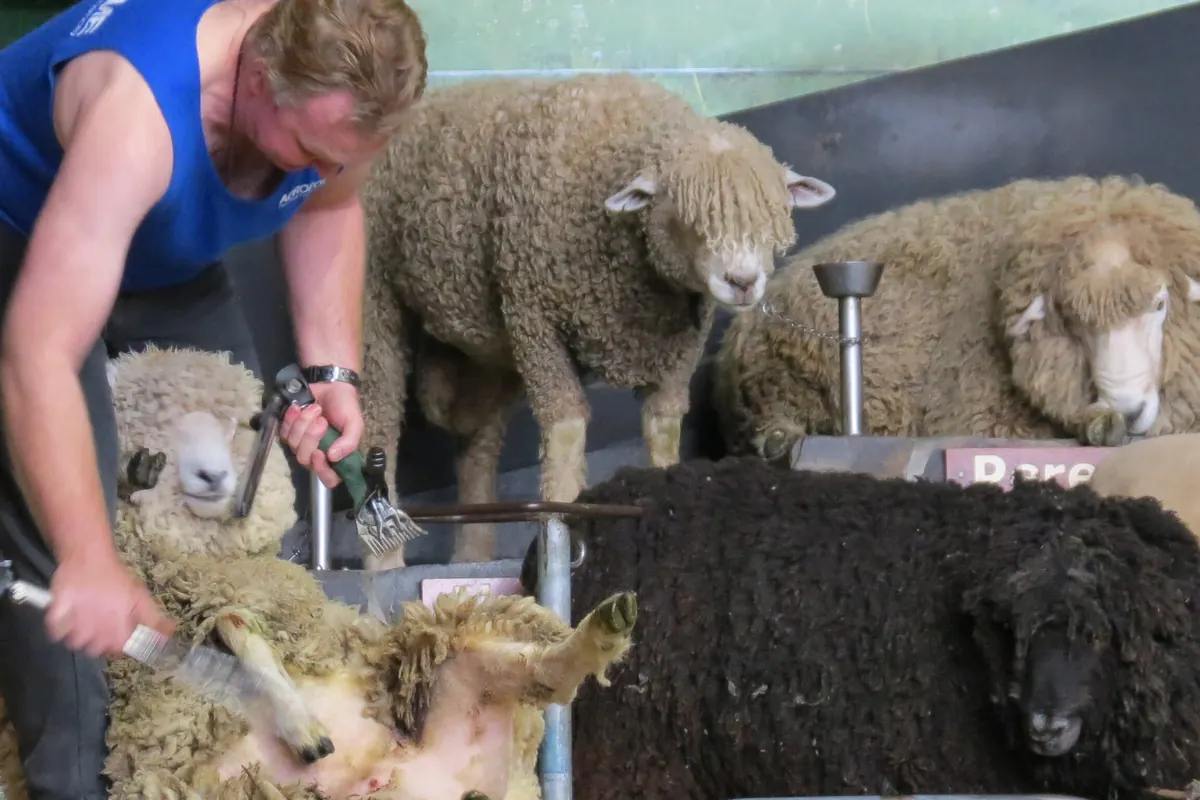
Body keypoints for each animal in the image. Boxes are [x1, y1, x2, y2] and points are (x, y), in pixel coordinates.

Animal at [357, 71, 837, 567]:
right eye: (681, 214)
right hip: (377, 294)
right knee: (379, 418)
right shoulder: (535, 318)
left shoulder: (676, 350)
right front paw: (562, 522)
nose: (742, 281)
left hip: (490, 338)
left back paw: (473, 553)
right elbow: (566, 429)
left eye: (774, 215)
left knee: (477, 440)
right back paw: (385, 558)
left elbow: (663, 429)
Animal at [712, 175, 1200, 460]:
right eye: (1071, 322)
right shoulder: (985, 417)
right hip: (783, 380)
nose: (1127, 410)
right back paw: (778, 439)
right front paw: (1097, 422)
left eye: (1160, 303)